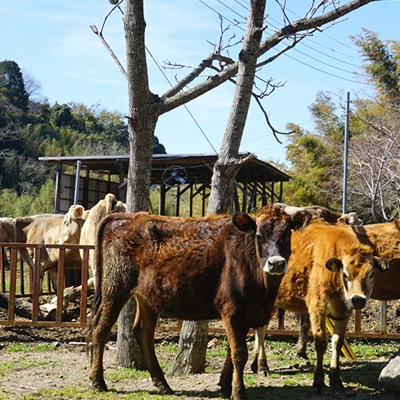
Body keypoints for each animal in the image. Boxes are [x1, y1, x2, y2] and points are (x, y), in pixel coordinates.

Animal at [89, 206, 310, 400]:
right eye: (258, 236)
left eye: (287, 235)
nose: (276, 263)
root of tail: (127, 216)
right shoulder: (232, 310)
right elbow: (239, 353)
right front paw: (238, 392)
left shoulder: (246, 313)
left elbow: (231, 351)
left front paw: (224, 386)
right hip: (115, 287)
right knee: (100, 329)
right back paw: (98, 381)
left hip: (146, 297)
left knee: (143, 332)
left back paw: (162, 384)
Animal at [250, 222, 388, 394]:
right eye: (345, 274)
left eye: (371, 274)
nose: (358, 300)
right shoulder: (317, 308)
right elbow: (321, 342)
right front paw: (319, 381)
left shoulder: (344, 313)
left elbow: (337, 342)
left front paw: (335, 379)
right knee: (261, 330)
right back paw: (262, 365)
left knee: (260, 329)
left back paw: (257, 364)